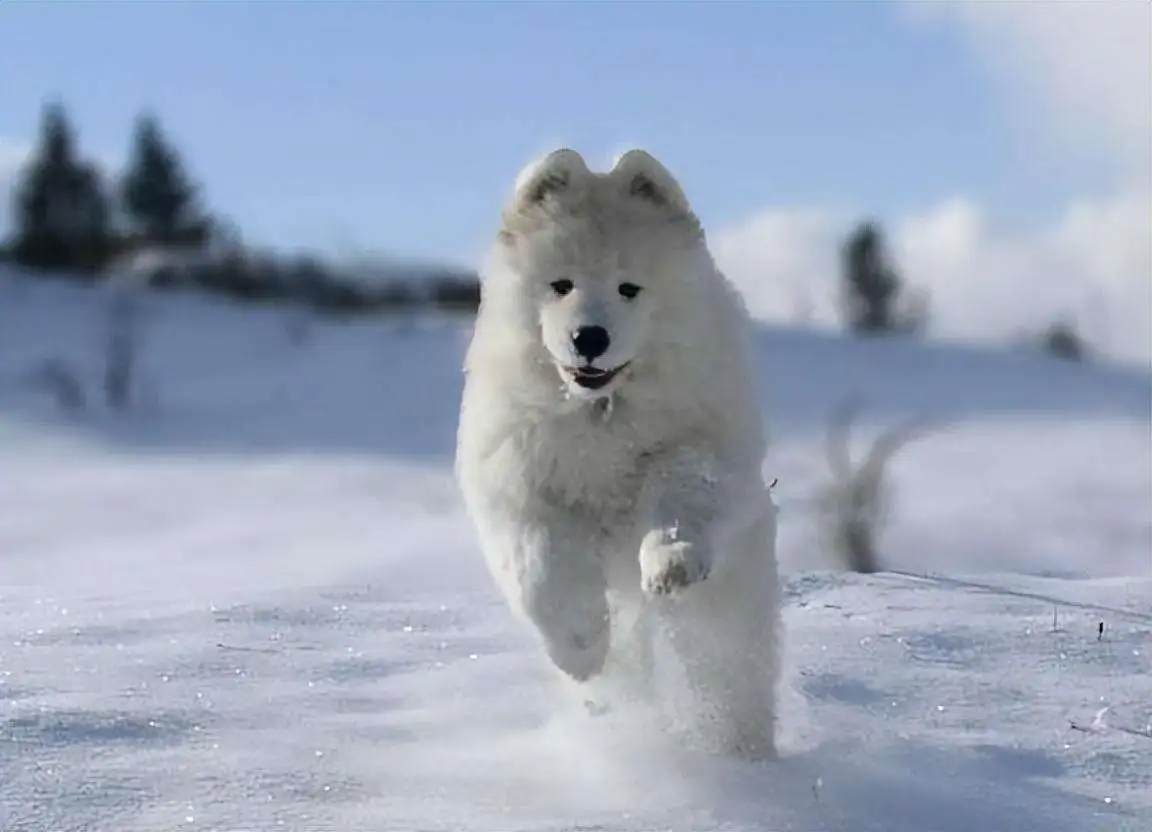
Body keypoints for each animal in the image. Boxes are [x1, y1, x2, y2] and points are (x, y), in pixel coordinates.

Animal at [453, 148, 778, 760]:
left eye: (630, 288)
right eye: (560, 284)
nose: (590, 338)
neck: (601, 411)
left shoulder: (695, 447)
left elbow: (682, 501)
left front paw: (671, 562)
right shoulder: (518, 478)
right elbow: (539, 566)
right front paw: (581, 646)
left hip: (732, 613)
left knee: (730, 678)